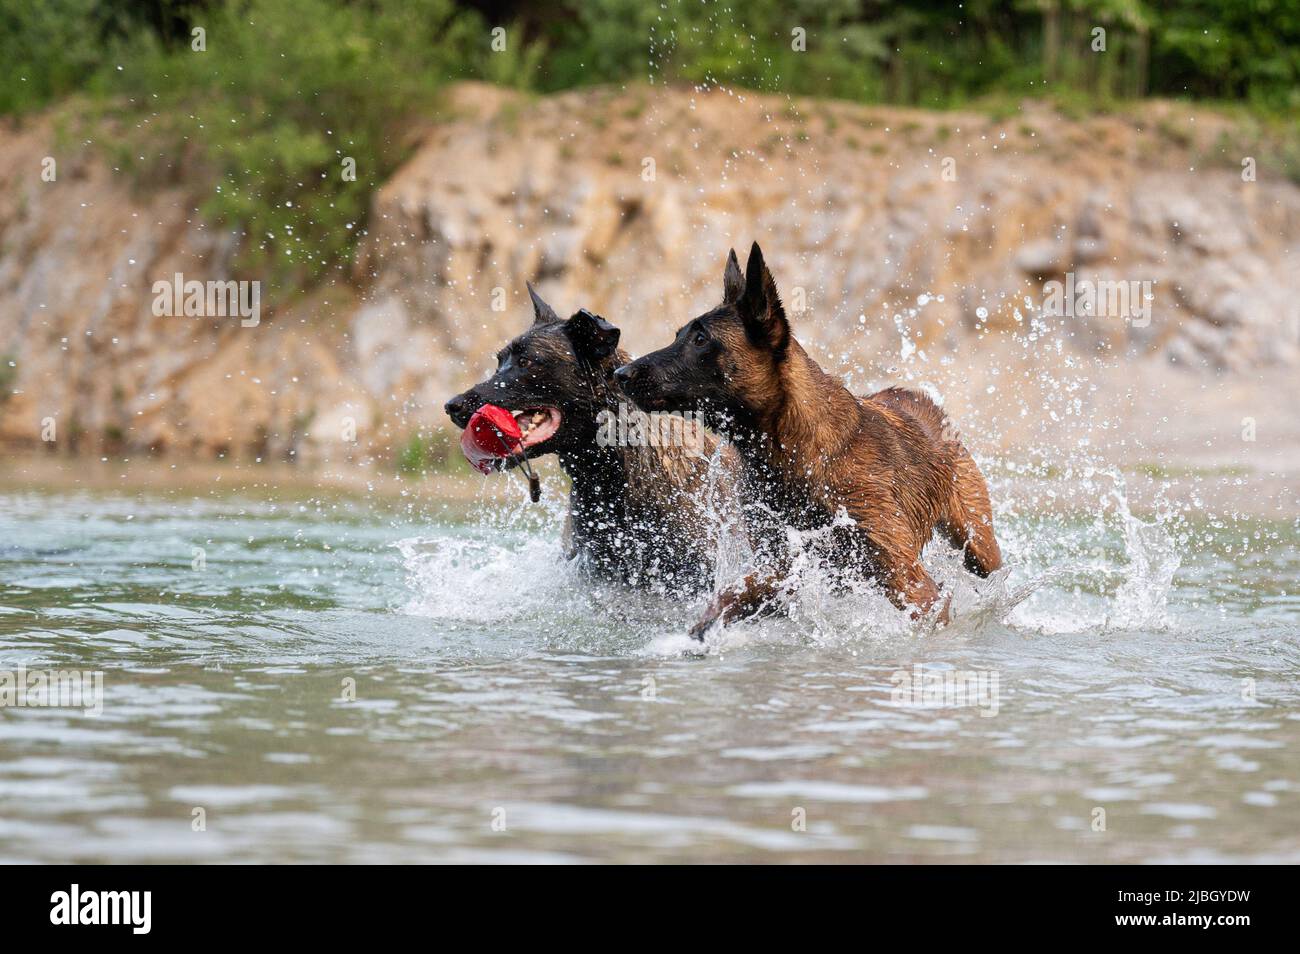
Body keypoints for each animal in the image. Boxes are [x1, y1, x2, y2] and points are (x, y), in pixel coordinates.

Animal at [613, 243, 998, 639]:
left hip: (977, 543)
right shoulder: (778, 567)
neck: (792, 451)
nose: (619, 373)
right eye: (678, 336)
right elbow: (730, 597)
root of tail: (921, 400)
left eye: (700, 339)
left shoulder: (908, 580)